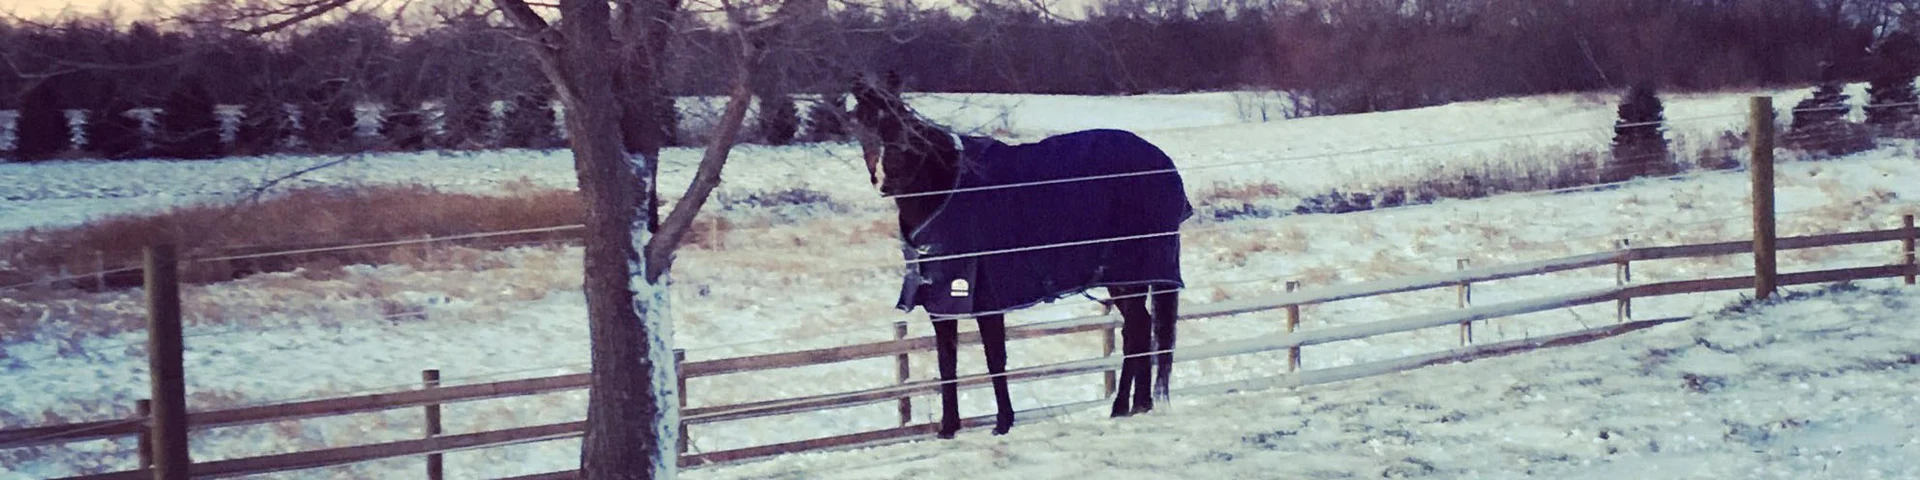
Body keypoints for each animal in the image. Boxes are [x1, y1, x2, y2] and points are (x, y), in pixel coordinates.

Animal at [848, 73, 1192, 439]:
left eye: (899, 119)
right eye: (860, 123)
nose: (884, 178)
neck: (946, 191)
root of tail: (1163, 164)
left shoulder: (986, 299)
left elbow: (994, 358)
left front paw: (1003, 422)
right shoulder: (942, 303)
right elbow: (947, 362)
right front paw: (948, 427)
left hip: (1131, 274)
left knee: (1137, 331)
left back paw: (1123, 406)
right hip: (1124, 278)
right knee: (1139, 328)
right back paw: (1136, 405)